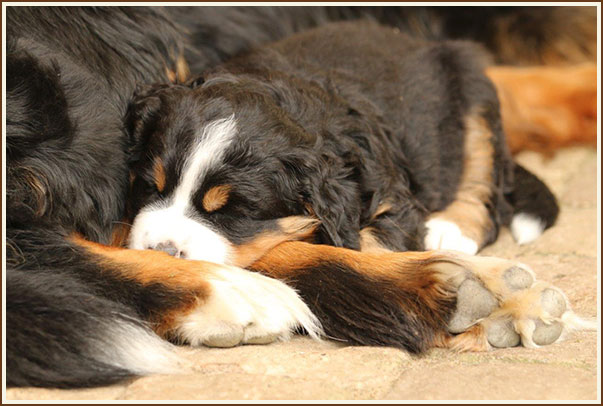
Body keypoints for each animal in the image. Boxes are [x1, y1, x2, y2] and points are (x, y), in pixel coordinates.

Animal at [5, 6, 596, 388]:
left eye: (234, 211)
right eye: (150, 186)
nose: (163, 249)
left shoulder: (387, 194)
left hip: (469, 86)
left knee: (483, 170)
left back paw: (455, 235)